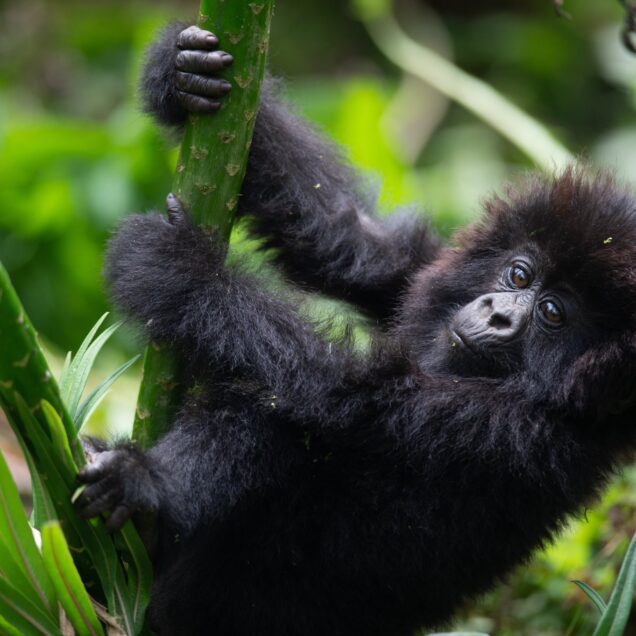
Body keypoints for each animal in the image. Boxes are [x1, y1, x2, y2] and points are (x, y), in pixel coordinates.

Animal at [76, 22, 636, 636]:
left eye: (553, 314)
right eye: (519, 274)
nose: (497, 315)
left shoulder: (515, 431)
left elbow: (339, 391)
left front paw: (179, 269)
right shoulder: (420, 270)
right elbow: (349, 239)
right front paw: (181, 71)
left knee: (277, 411)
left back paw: (145, 490)